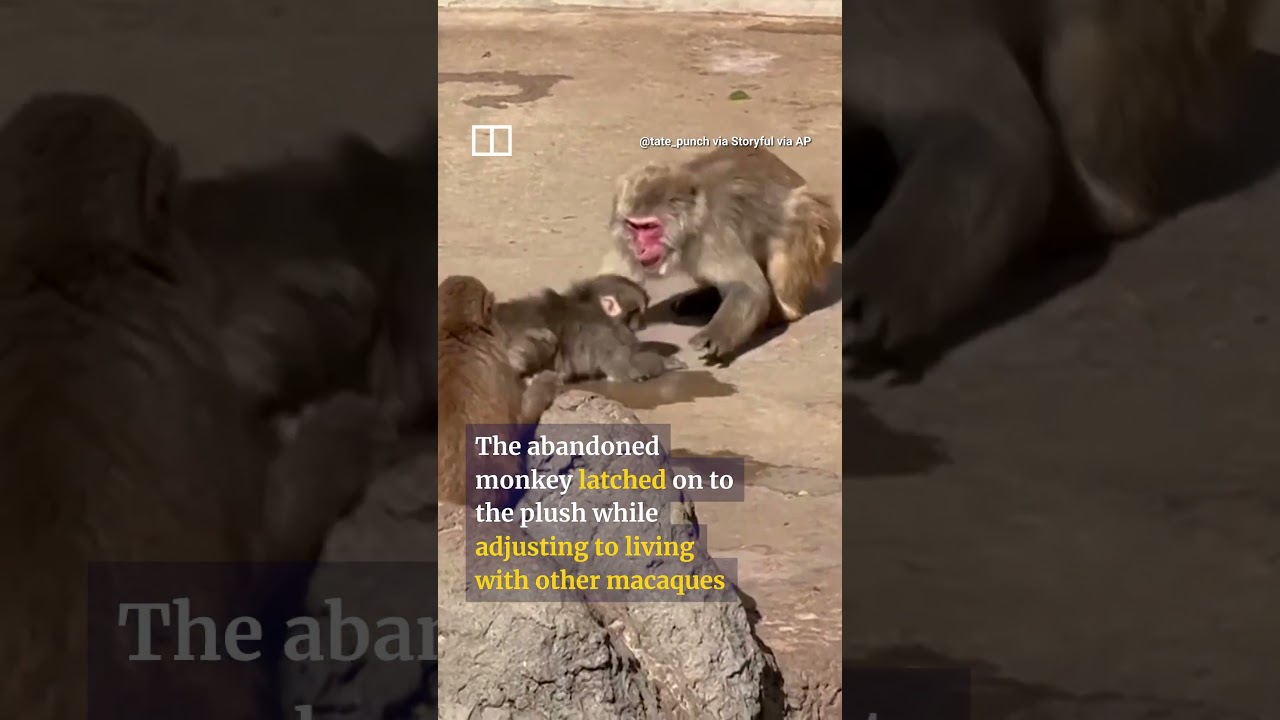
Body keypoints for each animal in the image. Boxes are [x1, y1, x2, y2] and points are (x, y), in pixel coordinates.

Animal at [494, 274, 688, 383]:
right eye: (636, 312)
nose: (643, 324)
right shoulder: (605, 332)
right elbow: (624, 365)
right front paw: (668, 363)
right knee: (546, 337)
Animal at [600, 146, 841, 362]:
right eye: (633, 226)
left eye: (650, 227)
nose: (639, 248)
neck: (689, 228)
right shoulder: (623, 237)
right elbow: (609, 282)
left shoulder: (715, 232)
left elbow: (749, 288)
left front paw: (716, 335)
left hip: (817, 225)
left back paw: (780, 312)